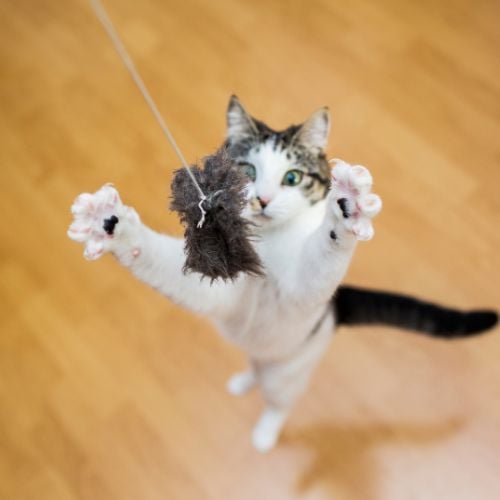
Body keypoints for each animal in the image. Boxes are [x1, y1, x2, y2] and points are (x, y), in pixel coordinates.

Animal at [68, 94, 498, 454]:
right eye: (246, 170)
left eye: (292, 177)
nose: (262, 199)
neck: (270, 243)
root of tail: (335, 313)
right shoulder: (221, 290)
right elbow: (164, 261)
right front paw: (108, 223)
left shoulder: (301, 294)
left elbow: (319, 261)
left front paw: (347, 208)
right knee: (255, 366)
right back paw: (243, 380)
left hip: (293, 367)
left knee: (279, 400)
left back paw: (265, 433)